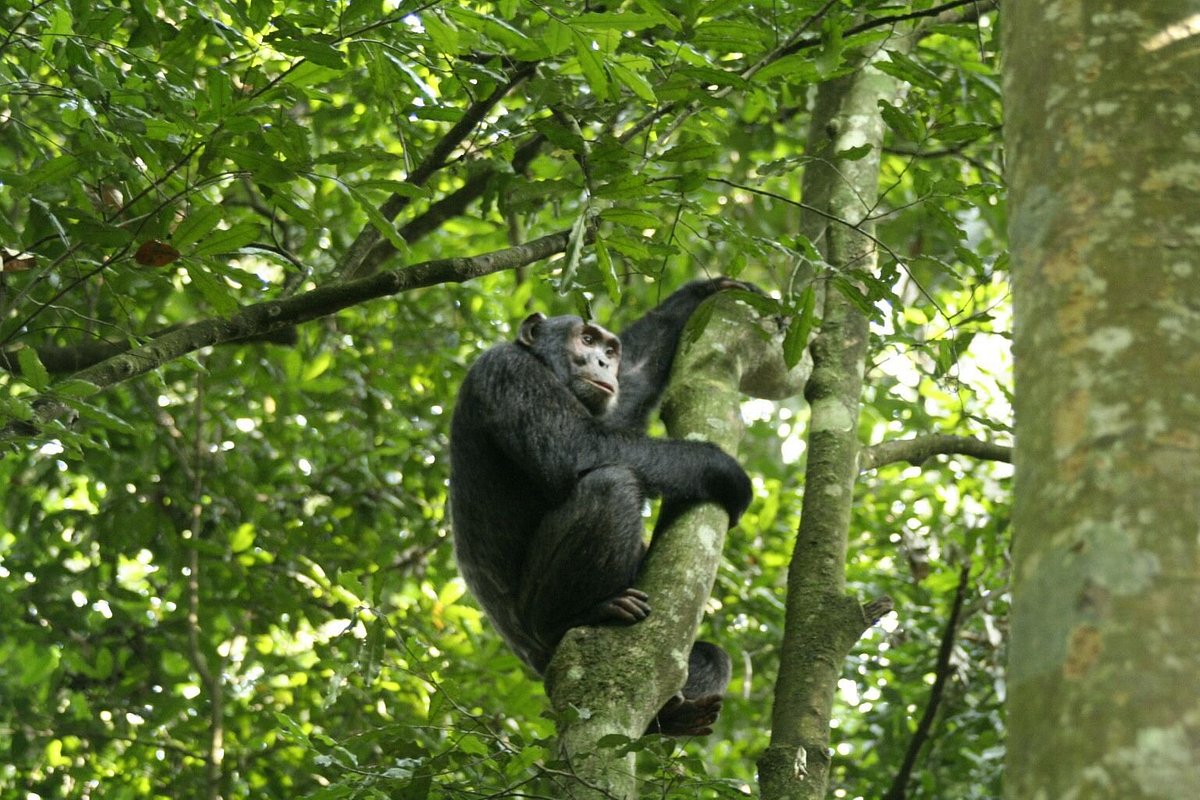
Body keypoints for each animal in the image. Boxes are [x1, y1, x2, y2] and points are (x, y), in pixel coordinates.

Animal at [451, 278, 748, 734]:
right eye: (586, 339)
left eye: (611, 349)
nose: (603, 362)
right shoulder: (509, 372)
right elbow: (580, 447)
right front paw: (722, 469)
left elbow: (631, 388)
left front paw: (704, 290)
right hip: (539, 632)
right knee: (613, 483)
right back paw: (582, 613)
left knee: (713, 656)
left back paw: (673, 714)